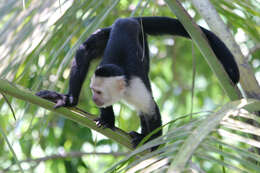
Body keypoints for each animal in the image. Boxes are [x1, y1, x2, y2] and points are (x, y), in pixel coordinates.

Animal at [36, 16, 240, 149]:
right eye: (93, 90)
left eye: (98, 92)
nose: (94, 99)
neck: (123, 89)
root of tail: (127, 19)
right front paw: (107, 119)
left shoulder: (135, 88)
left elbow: (151, 111)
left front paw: (151, 144)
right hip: (110, 33)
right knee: (86, 50)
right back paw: (71, 99)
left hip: (141, 37)